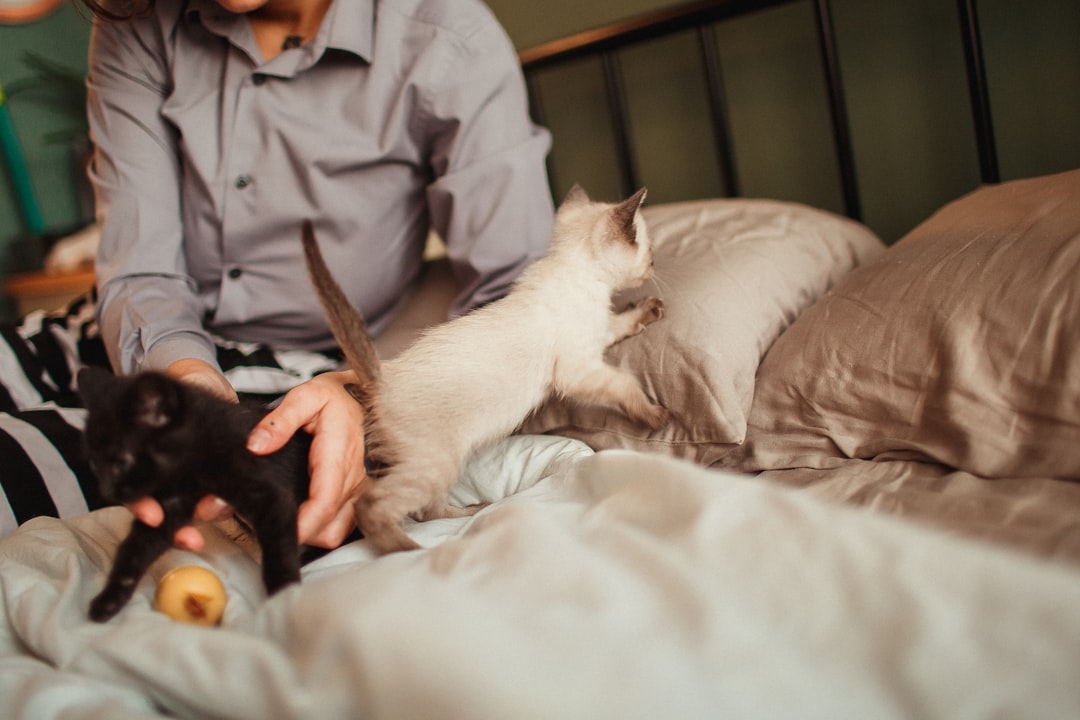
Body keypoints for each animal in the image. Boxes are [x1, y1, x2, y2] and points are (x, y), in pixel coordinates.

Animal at [76, 369, 311, 621]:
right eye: (94, 463)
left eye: (122, 463)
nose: (107, 492)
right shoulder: (169, 506)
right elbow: (134, 549)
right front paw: (109, 599)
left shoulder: (268, 495)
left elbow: (279, 549)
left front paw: (283, 596)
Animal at [304, 183, 665, 557]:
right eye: (650, 250)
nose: (655, 265)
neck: (579, 274)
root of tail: (382, 376)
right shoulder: (579, 369)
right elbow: (626, 385)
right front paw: (655, 415)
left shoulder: (599, 335)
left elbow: (621, 322)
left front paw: (649, 309)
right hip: (435, 463)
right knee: (372, 508)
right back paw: (411, 550)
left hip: (440, 467)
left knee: (425, 512)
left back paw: (470, 511)